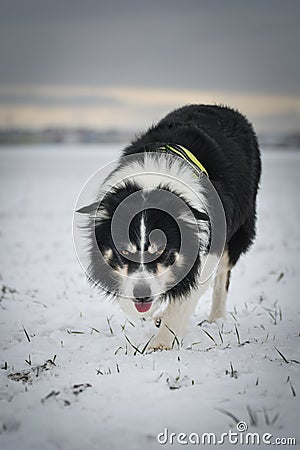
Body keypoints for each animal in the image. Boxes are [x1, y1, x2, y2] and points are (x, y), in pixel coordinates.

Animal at [77, 103, 260, 350]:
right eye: (124, 251)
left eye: (161, 250)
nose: (142, 295)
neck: (153, 182)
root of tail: (222, 107)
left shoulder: (208, 246)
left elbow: (186, 296)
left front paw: (161, 344)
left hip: (240, 226)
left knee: (223, 275)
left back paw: (216, 318)